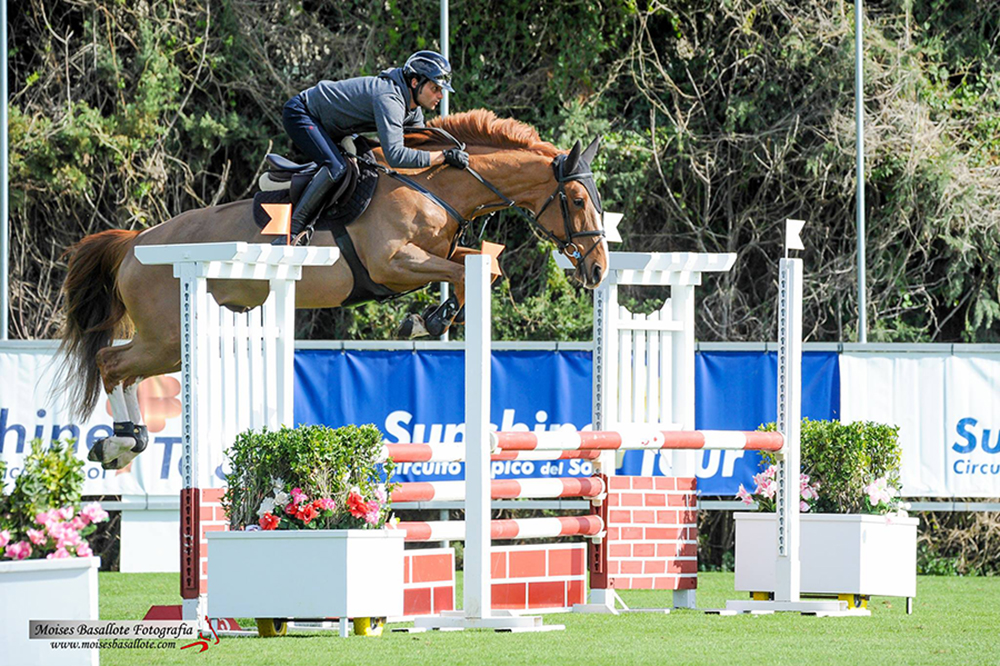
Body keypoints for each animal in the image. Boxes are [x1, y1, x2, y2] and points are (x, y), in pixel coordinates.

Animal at [60, 110, 608, 466]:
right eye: (579, 200)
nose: (599, 269)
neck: (435, 185)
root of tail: (135, 242)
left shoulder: (436, 255)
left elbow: (477, 269)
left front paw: (431, 318)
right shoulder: (392, 262)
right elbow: (463, 273)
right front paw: (425, 321)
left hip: (178, 342)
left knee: (126, 369)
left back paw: (125, 441)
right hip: (169, 336)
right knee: (112, 362)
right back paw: (119, 442)